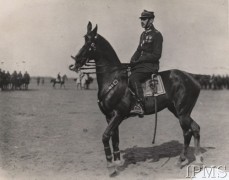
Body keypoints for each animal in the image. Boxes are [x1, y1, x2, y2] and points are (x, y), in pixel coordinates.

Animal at [68, 21, 202, 175]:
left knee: (187, 132)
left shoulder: (118, 115)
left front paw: (111, 167)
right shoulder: (109, 116)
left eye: (90, 43)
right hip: (179, 111)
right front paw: (118, 162)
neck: (113, 79)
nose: (75, 62)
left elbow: (106, 136)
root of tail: (193, 79)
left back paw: (181, 160)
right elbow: (115, 138)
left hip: (182, 112)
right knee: (195, 128)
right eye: (84, 39)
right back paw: (198, 159)